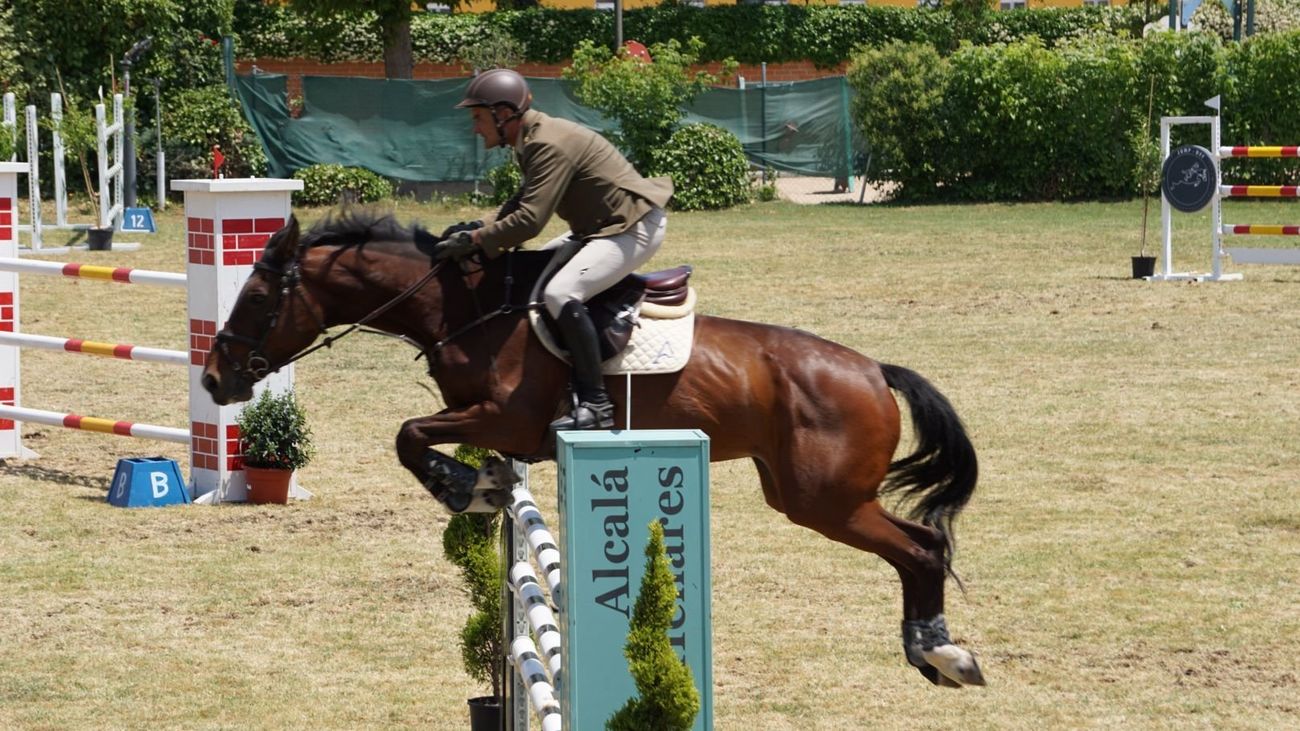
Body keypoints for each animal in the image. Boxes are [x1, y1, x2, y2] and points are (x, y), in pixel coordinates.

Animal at [201, 210, 986, 688]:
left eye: (257, 300)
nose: (215, 378)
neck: (466, 309)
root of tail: (872, 369)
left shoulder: (505, 420)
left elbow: (410, 433)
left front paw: (463, 487)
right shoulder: (489, 421)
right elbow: (415, 432)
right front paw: (479, 486)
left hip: (823, 499)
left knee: (921, 547)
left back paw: (942, 652)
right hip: (805, 492)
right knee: (921, 543)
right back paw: (933, 651)